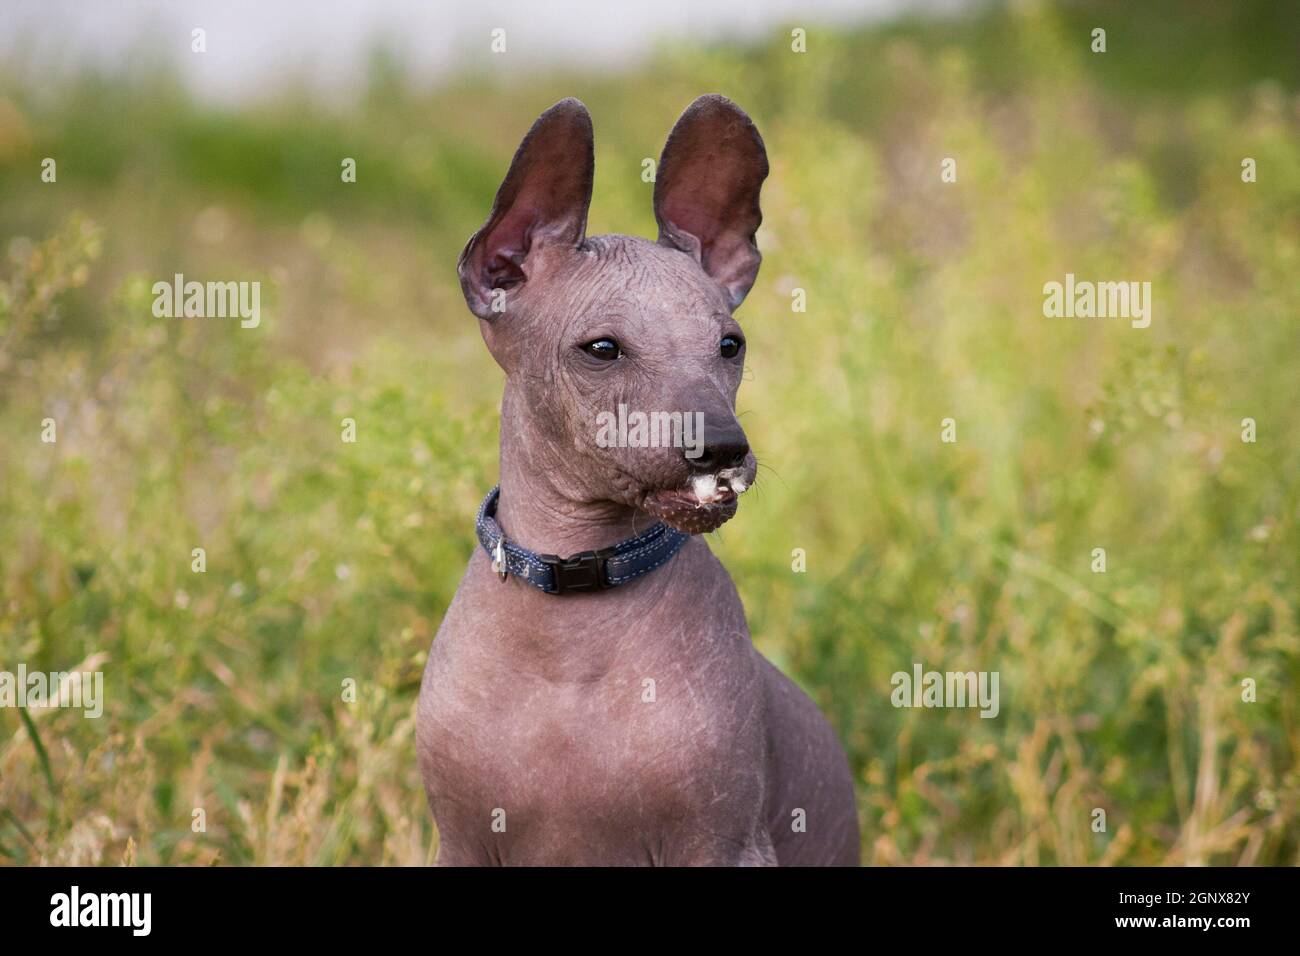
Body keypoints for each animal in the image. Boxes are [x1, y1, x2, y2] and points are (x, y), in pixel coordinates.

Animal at [418, 97, 863, 868]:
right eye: (601, 349)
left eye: (729, 345)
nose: (721, 445)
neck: (574, 613)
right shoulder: (463, 845)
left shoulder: (725, 846)